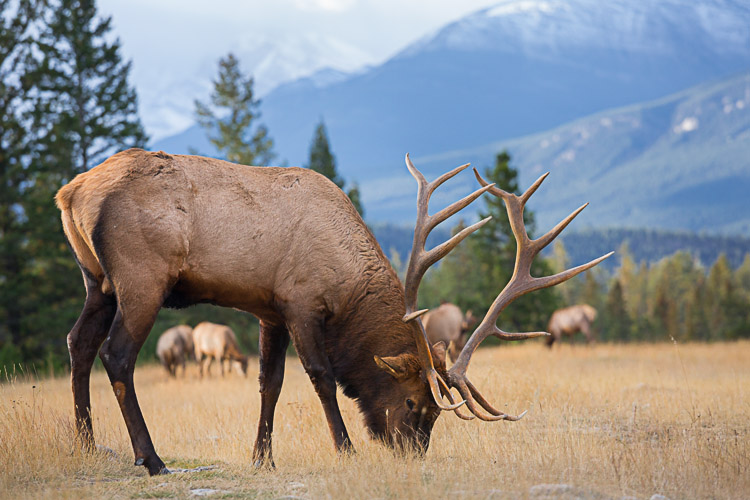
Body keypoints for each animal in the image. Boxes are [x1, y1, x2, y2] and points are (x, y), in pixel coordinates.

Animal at [57, 147, 612, 472]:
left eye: (437, 413)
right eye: (415, 403)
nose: (411, 455)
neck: (348, 287)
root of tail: (70, 192)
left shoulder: (269, 310)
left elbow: (270, 383)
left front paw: (262, 458)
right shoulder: (301, 302)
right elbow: (321, 377)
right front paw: (344, 448)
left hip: (97, 281)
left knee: (78, 343)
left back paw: (86, 444)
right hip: (141, 278)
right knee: (116, 354)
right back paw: (149, 458)